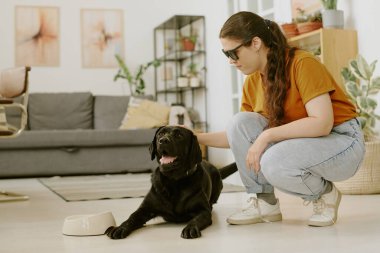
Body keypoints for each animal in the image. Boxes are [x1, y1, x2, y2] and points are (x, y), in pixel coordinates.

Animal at [107, 126, 236, 239]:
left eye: (179, 135)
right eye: (160, 134)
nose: (163, 141)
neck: (174, 181)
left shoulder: (203, 210)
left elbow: (197, 219)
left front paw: (190, 228)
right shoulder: (145, 209)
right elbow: (132, 217)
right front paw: (120, 228)